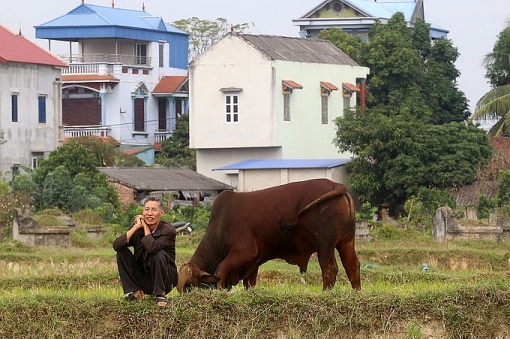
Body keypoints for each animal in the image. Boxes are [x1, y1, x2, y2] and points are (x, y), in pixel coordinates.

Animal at [177, 179, 360, 294]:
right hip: (346, 241)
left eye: (188, 286)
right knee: (352, 266)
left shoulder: (244, 252)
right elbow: (248, 283)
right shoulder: (252, 262)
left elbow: (220, 270)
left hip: (324, 244)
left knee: (329, 269)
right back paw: (357, 293)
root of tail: (337, 184)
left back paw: (325, 293)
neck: (220, 226)